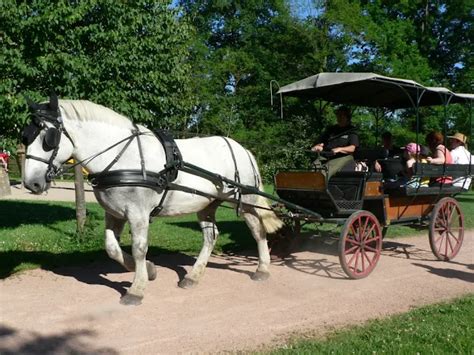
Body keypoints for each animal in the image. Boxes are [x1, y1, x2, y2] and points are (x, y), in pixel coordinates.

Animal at [23, 95, 282, 306]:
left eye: (48, 138)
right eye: (25, 136)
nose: (30, 183)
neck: (122, 157)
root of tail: (242, 149)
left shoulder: (138, 213)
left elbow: (139, 248)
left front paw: (136, 289)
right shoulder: (114, 213)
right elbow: (112, 248)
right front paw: (149, 270)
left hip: (246, 199)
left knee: (257, 230)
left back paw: (262, 268)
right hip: (207, 204)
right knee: (211, 236)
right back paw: (193, 276)